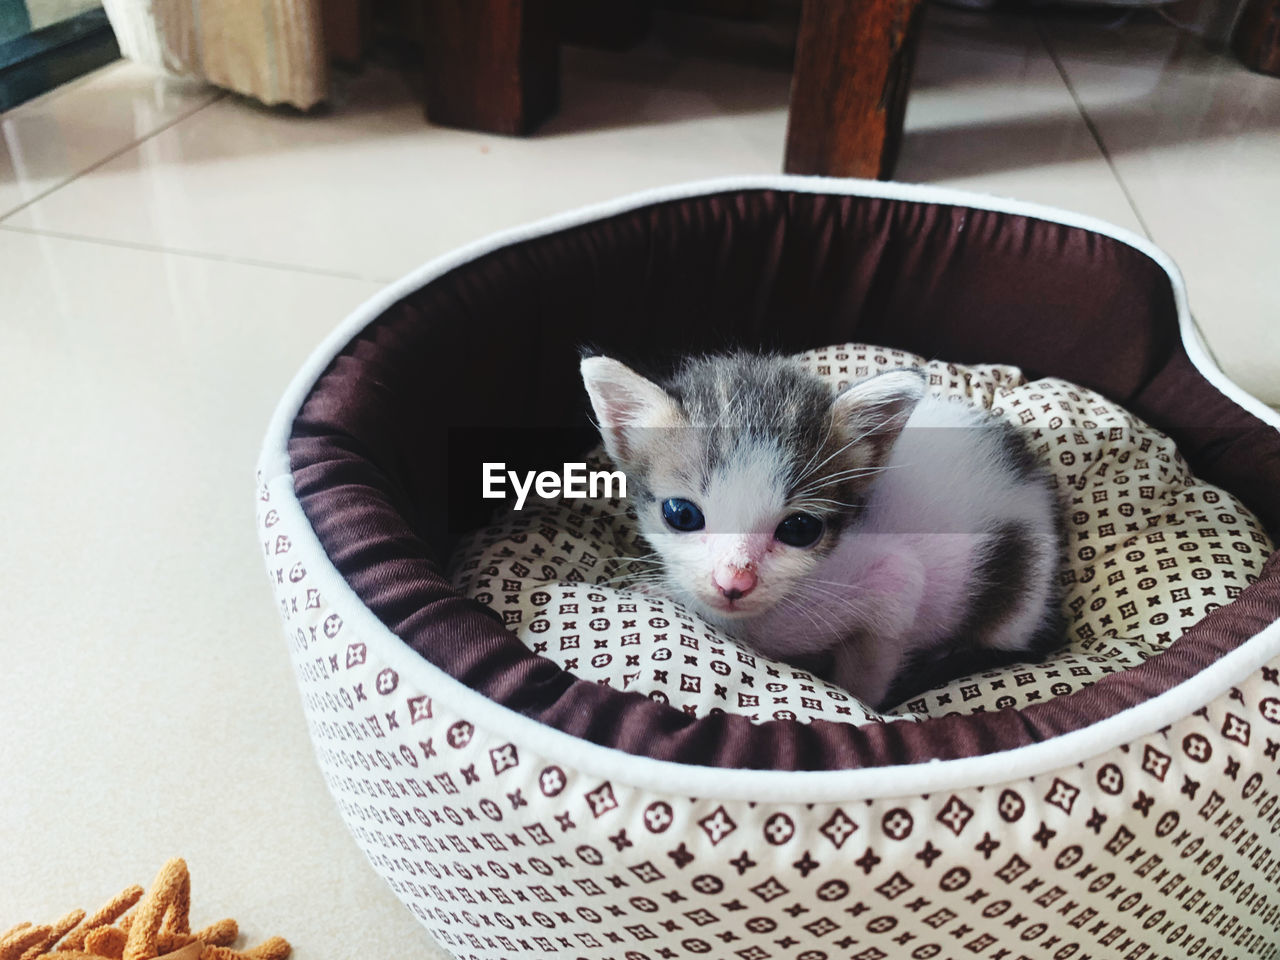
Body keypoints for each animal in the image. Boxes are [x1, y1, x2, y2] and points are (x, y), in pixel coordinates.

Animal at [581, 350, 1059, 711]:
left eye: (799, 528)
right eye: (681, 514)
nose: (734, 582)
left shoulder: (893, 581)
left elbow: (874, 657)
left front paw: (860, 703)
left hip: (1017, 593)